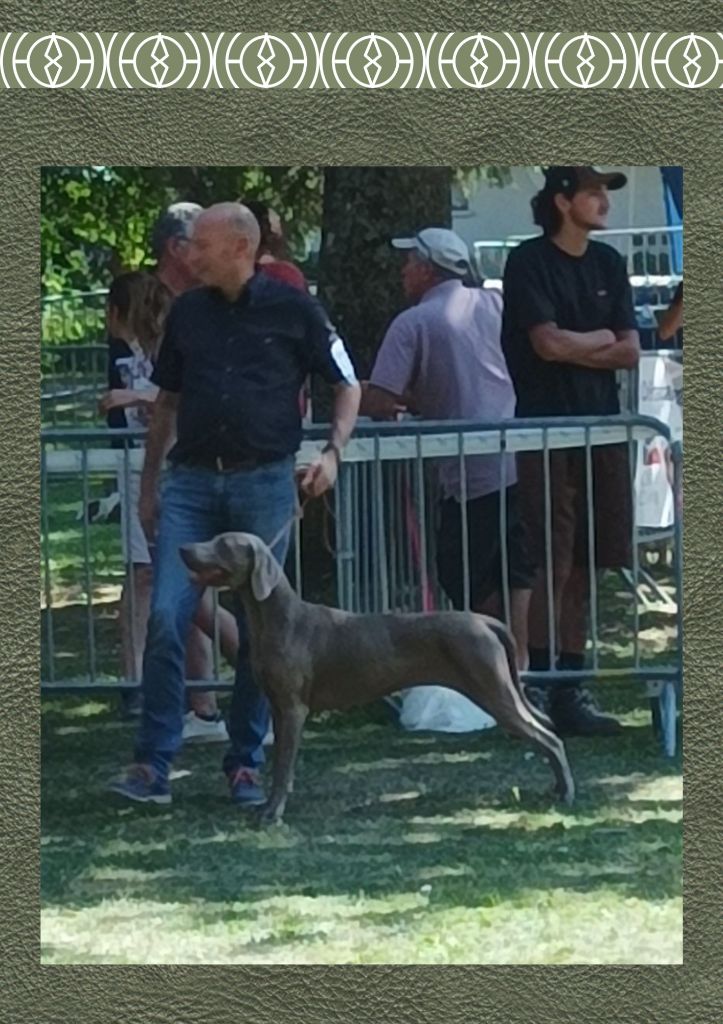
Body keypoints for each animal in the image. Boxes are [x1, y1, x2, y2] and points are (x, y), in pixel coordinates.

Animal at [180, 532, 573, 819]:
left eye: (223, 543)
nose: (183, 547)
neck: (275, 618)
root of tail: (486, 621)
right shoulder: (278, 707)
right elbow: (280, 764)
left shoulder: (293, 709)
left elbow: (283, 767)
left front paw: (273, 813)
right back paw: (557, 788)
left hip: (493, 689)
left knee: (550, 738)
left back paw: (566, 791)